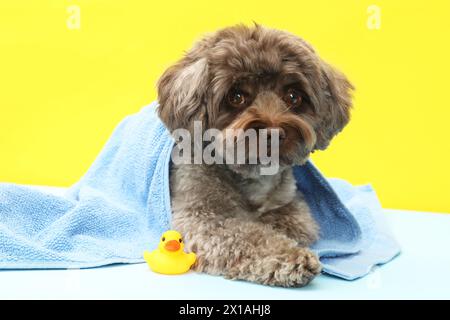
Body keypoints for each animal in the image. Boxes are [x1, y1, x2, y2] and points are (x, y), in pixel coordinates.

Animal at [156, 23, 354, 286]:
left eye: (293, 96)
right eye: (236, 96)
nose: (273, 132)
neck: (251, 176)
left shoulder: (293, 206)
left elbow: (292, 224)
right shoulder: (201, 216)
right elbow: (248, 236)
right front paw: (290, 258)